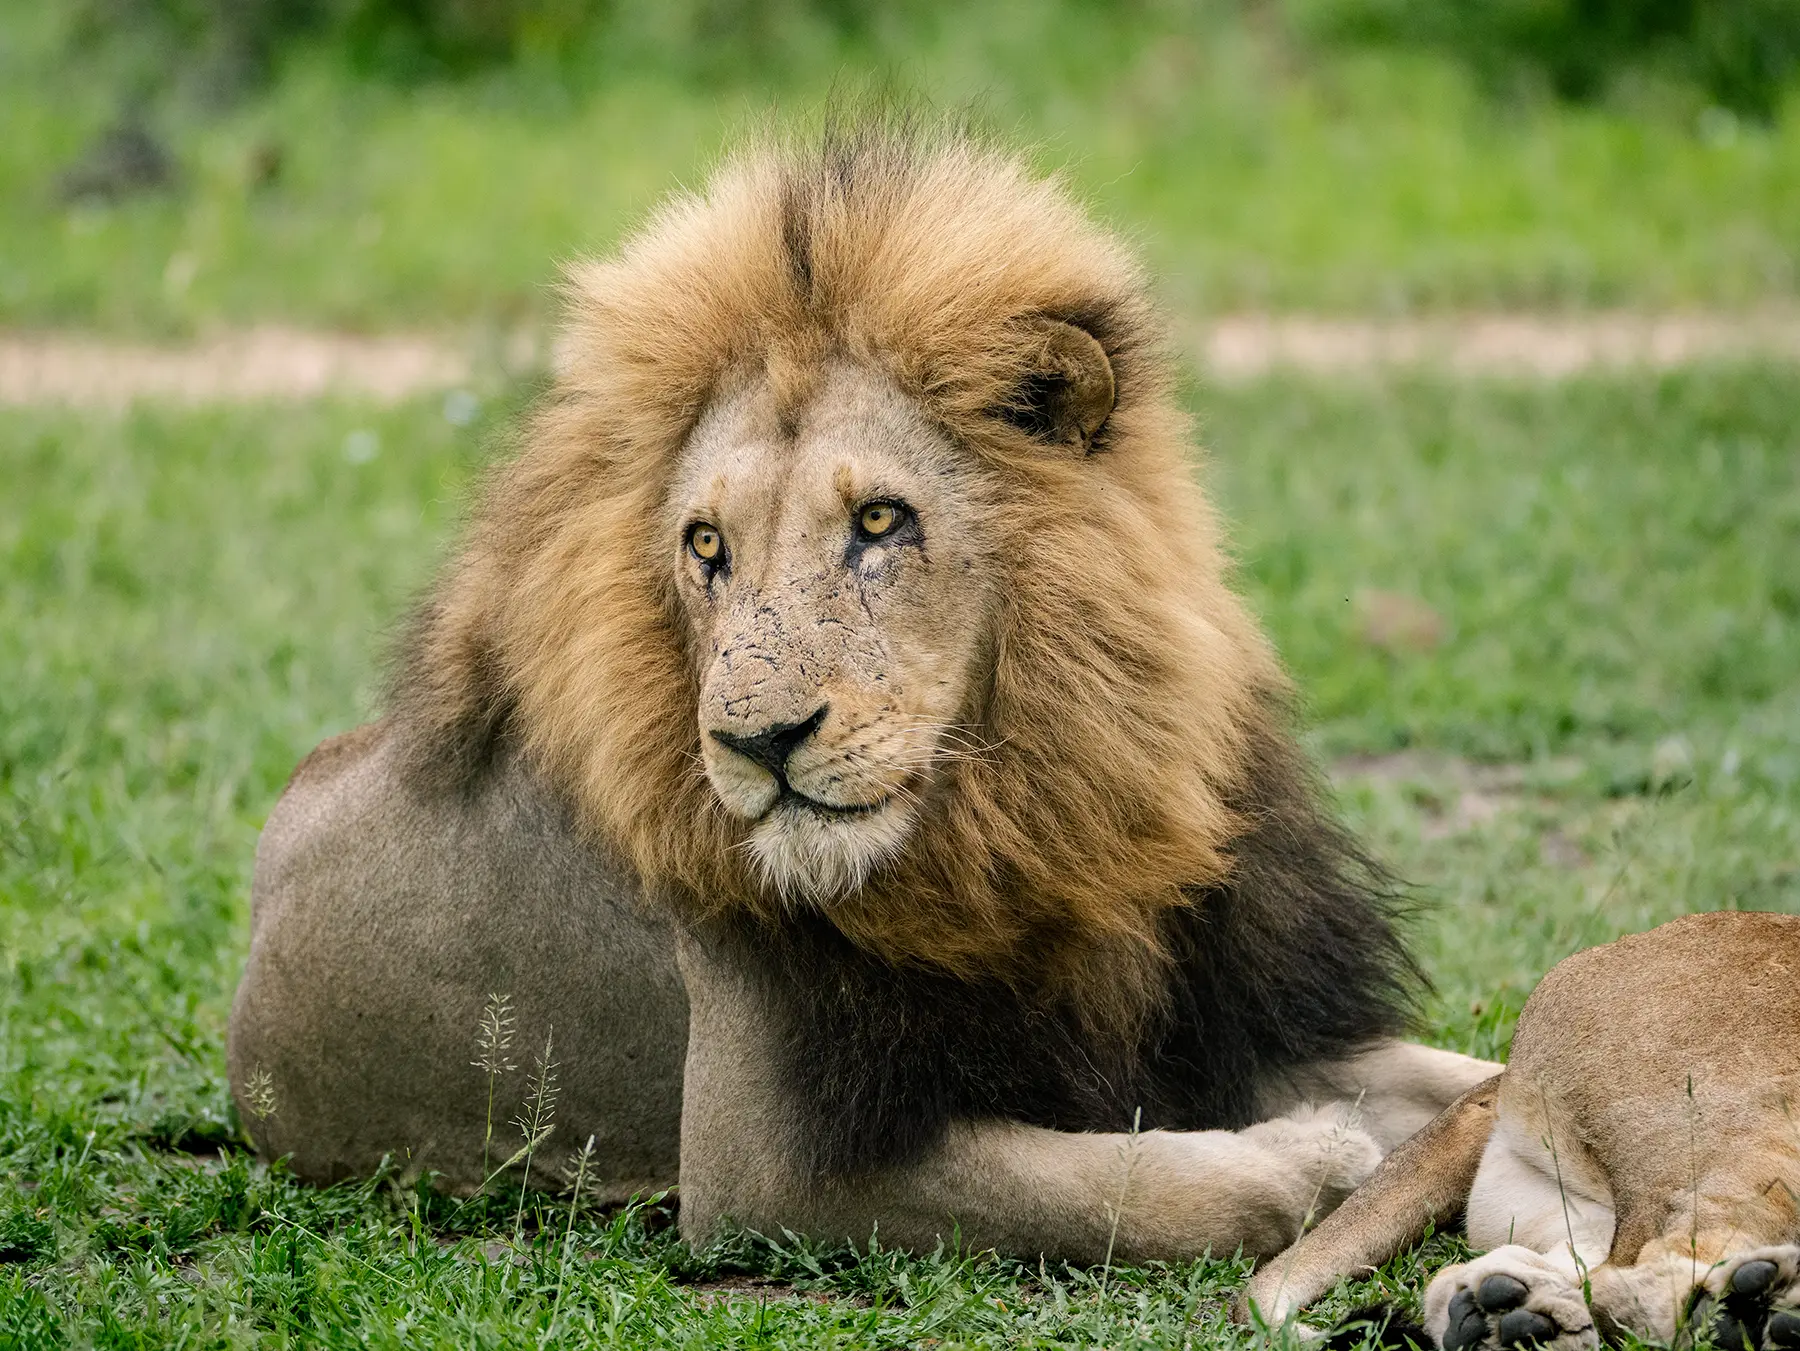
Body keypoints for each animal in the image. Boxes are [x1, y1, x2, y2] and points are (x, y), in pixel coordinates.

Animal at [226, 121, 1499, 1261]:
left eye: (881, 521)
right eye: (705, 545)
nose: (758, 741)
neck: (1028, 819)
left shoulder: (1222, 1007)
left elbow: (1479, 1068)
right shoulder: (764, 1171)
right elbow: (1145, 1191)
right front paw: (1313, 1155)